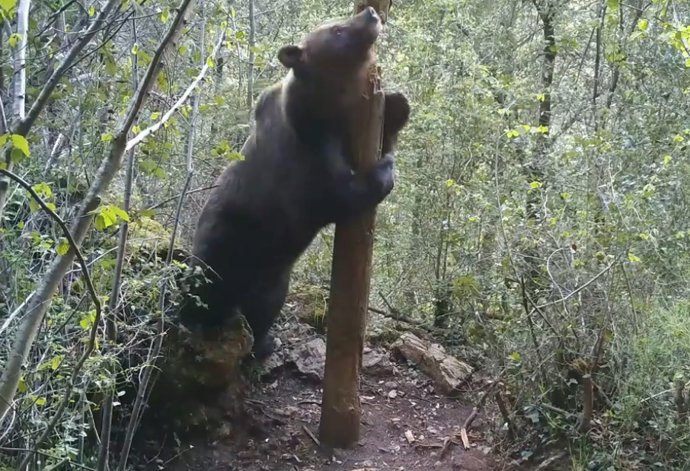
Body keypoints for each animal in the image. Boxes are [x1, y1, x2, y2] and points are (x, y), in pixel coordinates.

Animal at [179, 6, 410, 360]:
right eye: (337, 30)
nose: (370, 13)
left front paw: (398, 105)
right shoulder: (306, 155)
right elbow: (339, 194)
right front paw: (385, 170)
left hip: (273, 273)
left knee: (264, 307)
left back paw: (264, 342)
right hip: (224, 246)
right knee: (207, 291)